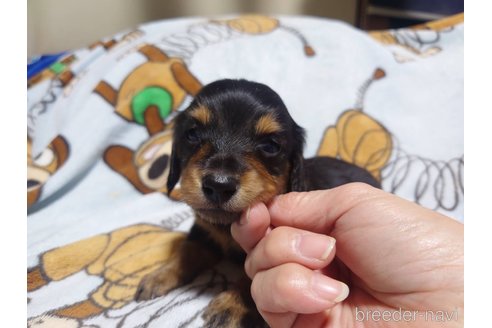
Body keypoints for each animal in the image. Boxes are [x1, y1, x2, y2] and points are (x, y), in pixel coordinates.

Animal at [135, 79, 380, 326]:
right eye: (192, 133)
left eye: (271, 145)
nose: (219, 185)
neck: (227, 227)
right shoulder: (204, 230)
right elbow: (187, 249)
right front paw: (158, 276)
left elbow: (250, 277)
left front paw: (230, 306)